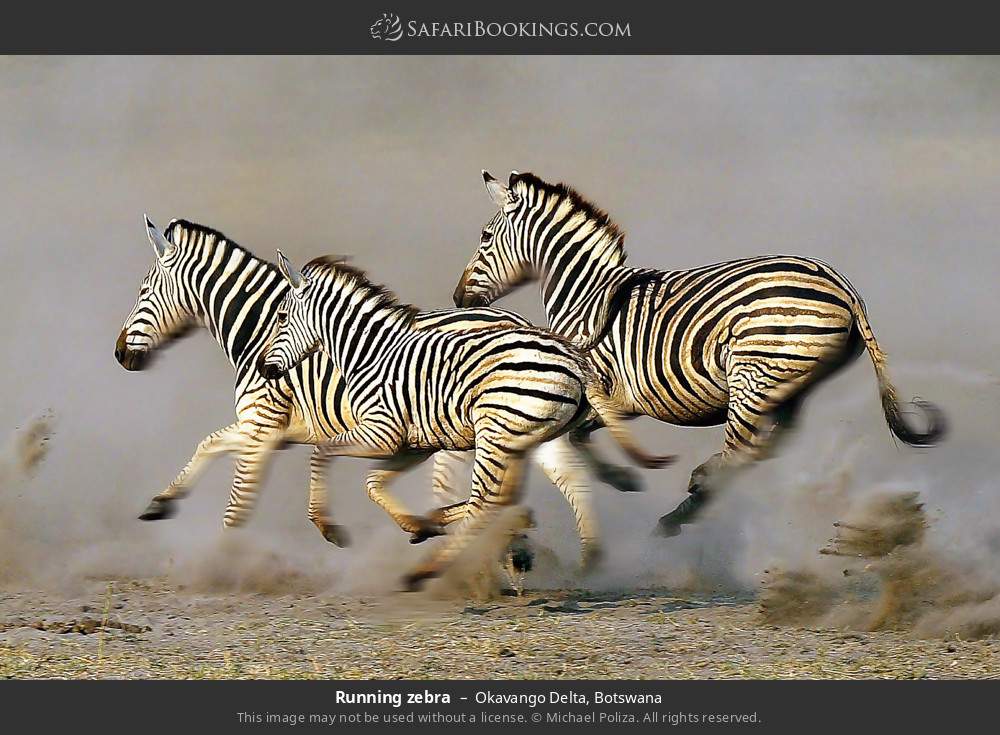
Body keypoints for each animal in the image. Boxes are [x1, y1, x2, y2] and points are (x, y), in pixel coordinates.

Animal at [115, 216, 639, 565]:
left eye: (142, 291)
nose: (120, 355)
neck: (260, 328)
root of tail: (527, 327)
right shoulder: (266, 429)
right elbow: (208, 444)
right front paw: (161, 504)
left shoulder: (262, 426)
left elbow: (238, 500)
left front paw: (224, 558)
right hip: (522, 423)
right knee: (565, 476)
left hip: (474, 429)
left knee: (483, 489)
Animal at [257, 252, 673, 589]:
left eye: (280, 317)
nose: (263, 369)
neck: (369, 353)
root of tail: (573, 356)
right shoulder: (411, 445)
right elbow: (373, 483)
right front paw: (416, 524)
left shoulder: (382, 433)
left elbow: (322, 454)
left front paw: (329, 528)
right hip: (524, 436)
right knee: (517, 493)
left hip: (495, 430)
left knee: (487, 500)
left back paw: (425, 570)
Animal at [453, 170, 946, 537]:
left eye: (484, 238)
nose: (459, 299)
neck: (586, 293)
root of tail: (843, 286)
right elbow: (578, 439)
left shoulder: (604, 393)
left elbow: (577, 438)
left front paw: (624, 478)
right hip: (789, 383)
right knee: (767, 446)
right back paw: (688, 504)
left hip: (753, 372)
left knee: (744, 445)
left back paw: (691, 494)